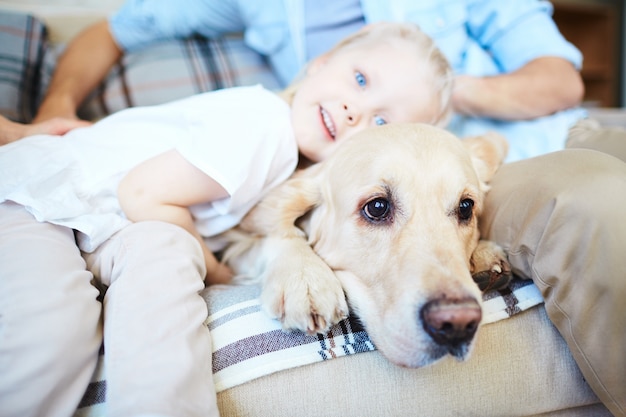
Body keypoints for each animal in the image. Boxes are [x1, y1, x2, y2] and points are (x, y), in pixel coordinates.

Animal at [222, 123, 510, 368]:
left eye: (466, 207)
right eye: (377, 207)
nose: (458, 323)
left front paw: (484, 256)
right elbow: (278, 234)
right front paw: (303, 278)